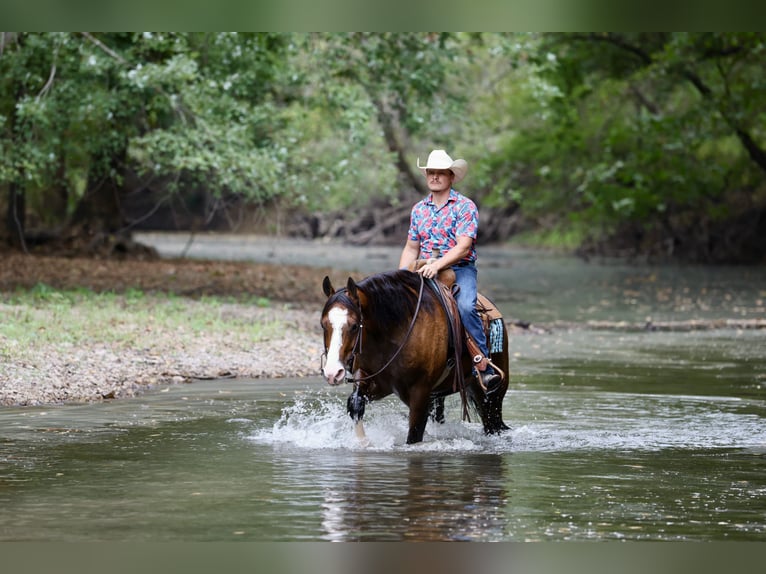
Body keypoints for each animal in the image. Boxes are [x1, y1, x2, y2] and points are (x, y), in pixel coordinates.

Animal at [320, 269, 509, 444]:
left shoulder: (420, 393)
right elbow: (356, 402)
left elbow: (414, 435)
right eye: (323, 325)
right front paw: (363, 442)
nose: (332, 373)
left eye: (354, 326)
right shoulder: (375, 381)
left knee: (493, 423)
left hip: (491, 395)